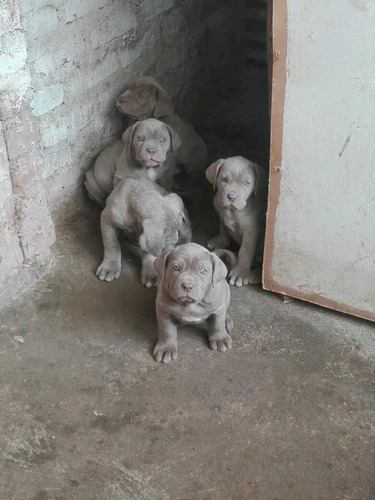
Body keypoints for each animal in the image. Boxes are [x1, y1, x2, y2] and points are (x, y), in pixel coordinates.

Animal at [206, 156, 268, 290]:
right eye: (224, 179)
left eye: (247, 183)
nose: (231, 197)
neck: (231, 211)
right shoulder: (220, 210)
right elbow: (223, 227)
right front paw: (220, 240)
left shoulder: (251, 231)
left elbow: (245, 251)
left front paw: (241, 273)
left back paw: (255, 275)